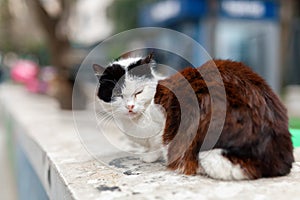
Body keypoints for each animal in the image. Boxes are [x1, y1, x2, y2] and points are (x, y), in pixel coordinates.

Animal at [92, 53, 294, 181]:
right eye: (117, 95)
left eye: (138, 92)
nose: (130, 107)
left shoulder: (162, 120)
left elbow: (156, 144)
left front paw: (149, 156)